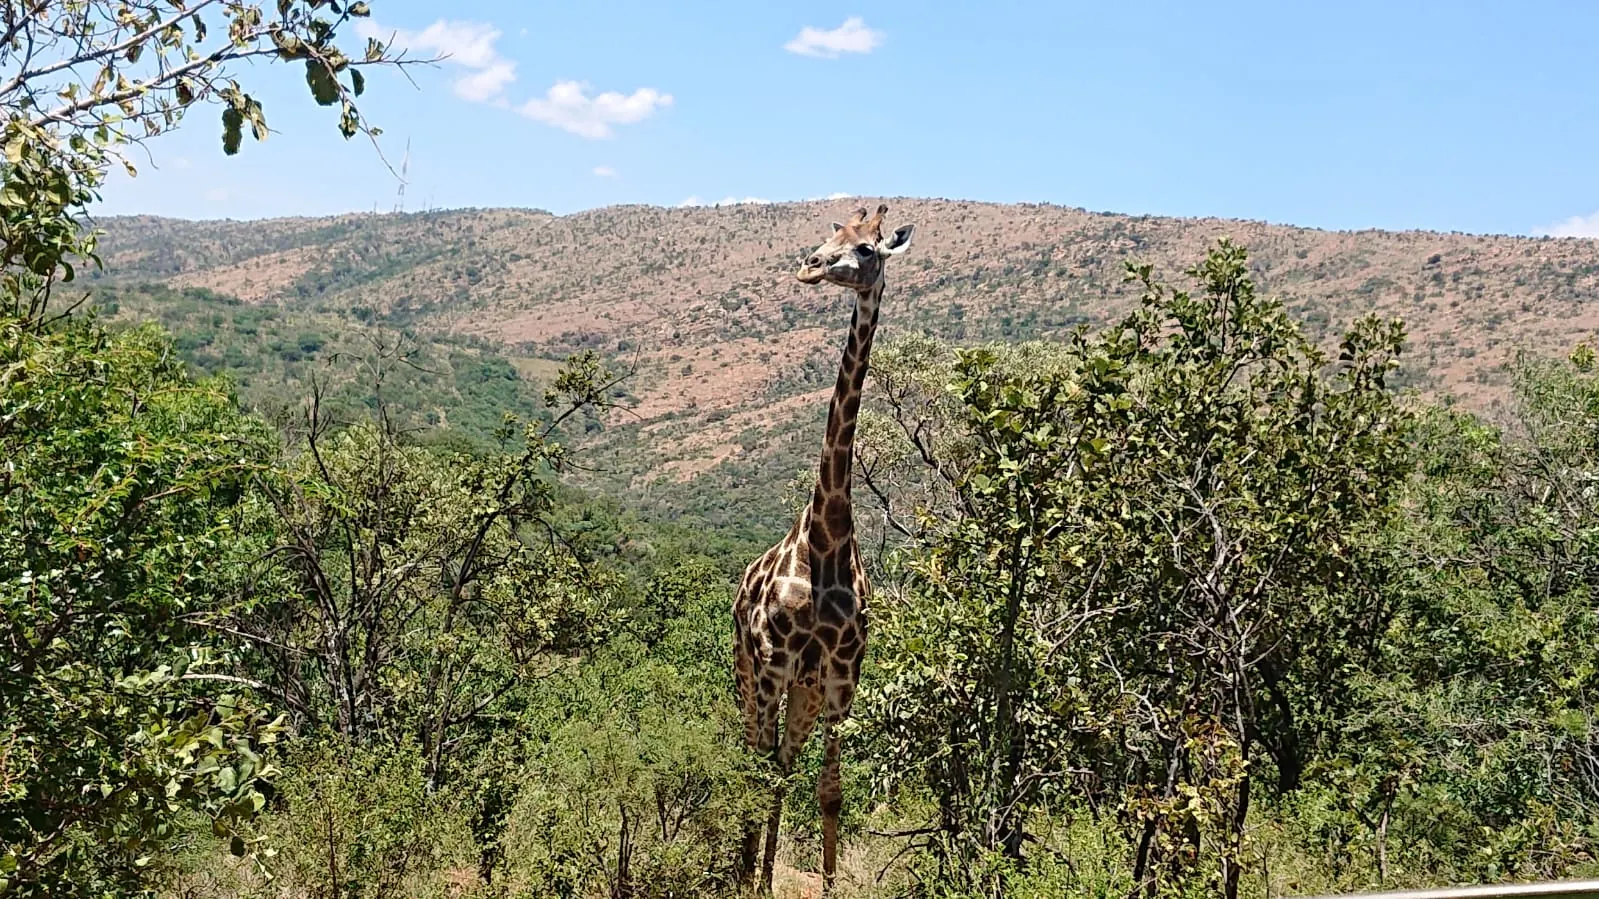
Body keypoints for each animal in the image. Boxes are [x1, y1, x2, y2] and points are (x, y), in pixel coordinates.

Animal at [732, 203, 915, 896]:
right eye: (830, 234)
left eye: (867, 249)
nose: (809, 266)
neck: (827, 532)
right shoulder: (775, 664)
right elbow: (764, 773)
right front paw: (752, 880)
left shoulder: (840, 679)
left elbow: (830, 792)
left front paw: (828, 881)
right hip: (750, 675)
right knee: (754, 757)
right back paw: (742, 870)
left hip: (802, 695)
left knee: (782, 761)